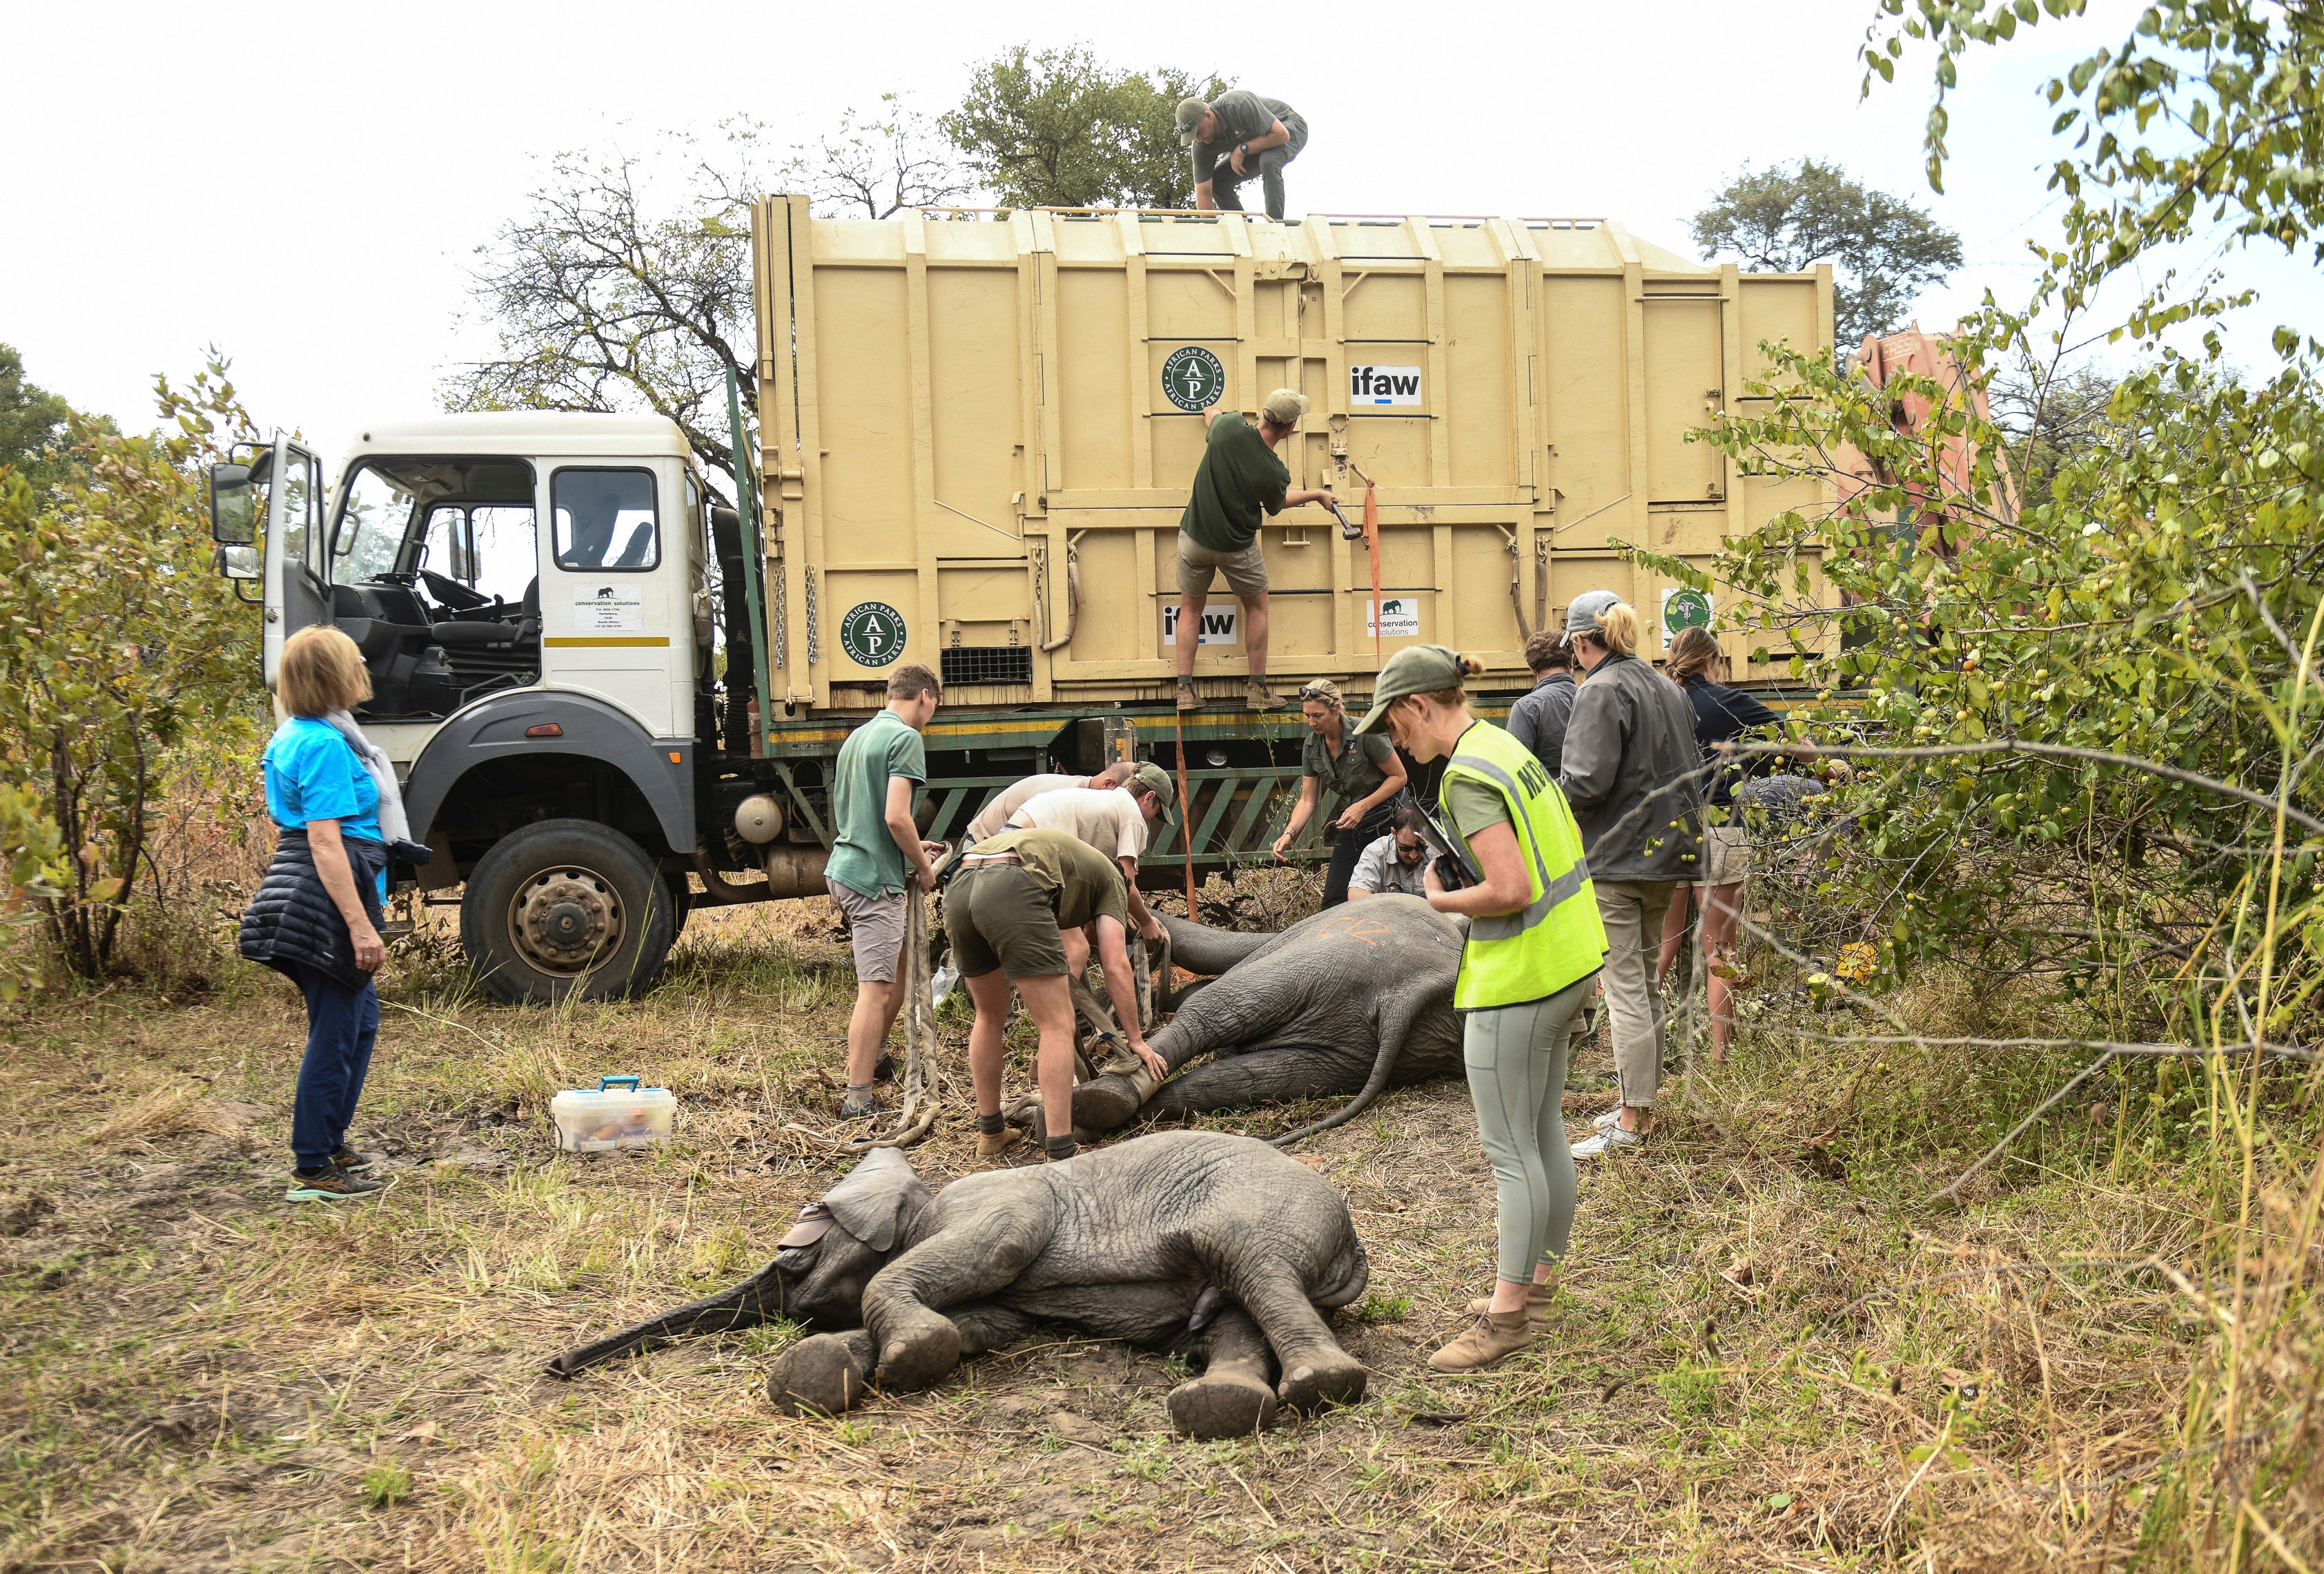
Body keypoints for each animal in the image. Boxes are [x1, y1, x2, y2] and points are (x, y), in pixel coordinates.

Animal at [546, 1129, 1366, 1432]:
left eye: (789, 1262)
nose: (556, 1367)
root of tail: (1352, 1249)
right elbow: (990, 1322)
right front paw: (826, 1371)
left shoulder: (995, 1203)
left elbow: (998, 1247)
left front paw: (904, 1358)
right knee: (1224, 1313)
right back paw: (1221, 1407)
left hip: (1262, 1206)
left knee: (1243, 1261)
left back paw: (1320, 1388)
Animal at [1064, 897, 1459, 1143]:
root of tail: (1400, 1000)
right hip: (1376, 1051)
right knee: (1254, 1075)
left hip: (1334, 957)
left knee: (1214, 1005)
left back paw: (1095, 1100)